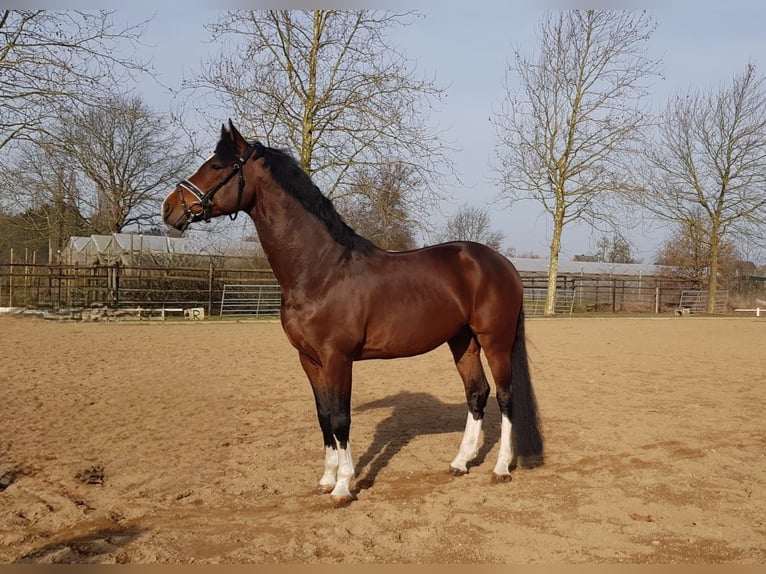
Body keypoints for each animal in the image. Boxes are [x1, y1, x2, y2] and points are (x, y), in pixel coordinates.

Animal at [162, 119, 544, 506]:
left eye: (216, 166)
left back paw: (500, 469)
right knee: (476, 393)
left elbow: (340, 419)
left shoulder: (338, 358)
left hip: (495, 341)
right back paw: (460, 462)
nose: (169, 208)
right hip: (462, 340)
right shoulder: (309, 360)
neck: (321, 270)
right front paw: (326, 479)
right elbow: (323, 417)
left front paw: (344, 486)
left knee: (505, 397)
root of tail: (503, 264)